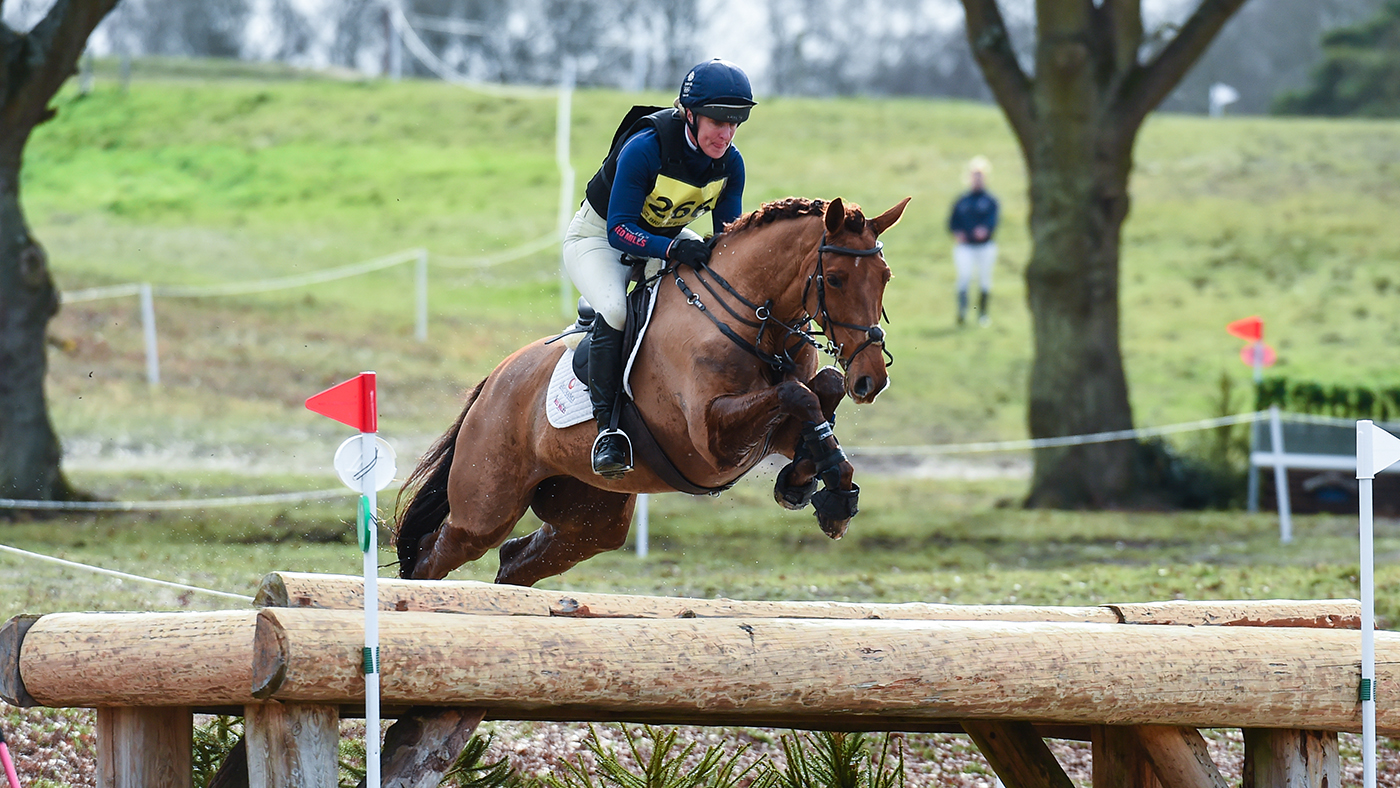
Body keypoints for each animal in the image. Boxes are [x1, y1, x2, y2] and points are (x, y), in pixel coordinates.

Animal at [394, 195, 910, 587]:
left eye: (885, 278)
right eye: (836, 279)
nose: (871, 380)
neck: (755, 324)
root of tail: (494, 380)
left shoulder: (767, 432)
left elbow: (818, 391)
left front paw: (820, 486)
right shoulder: (712, 441)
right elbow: (797, 396)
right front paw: (823, 484)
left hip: (589, 519)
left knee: (516, 561)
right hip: (484, 508)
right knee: (433, 554)